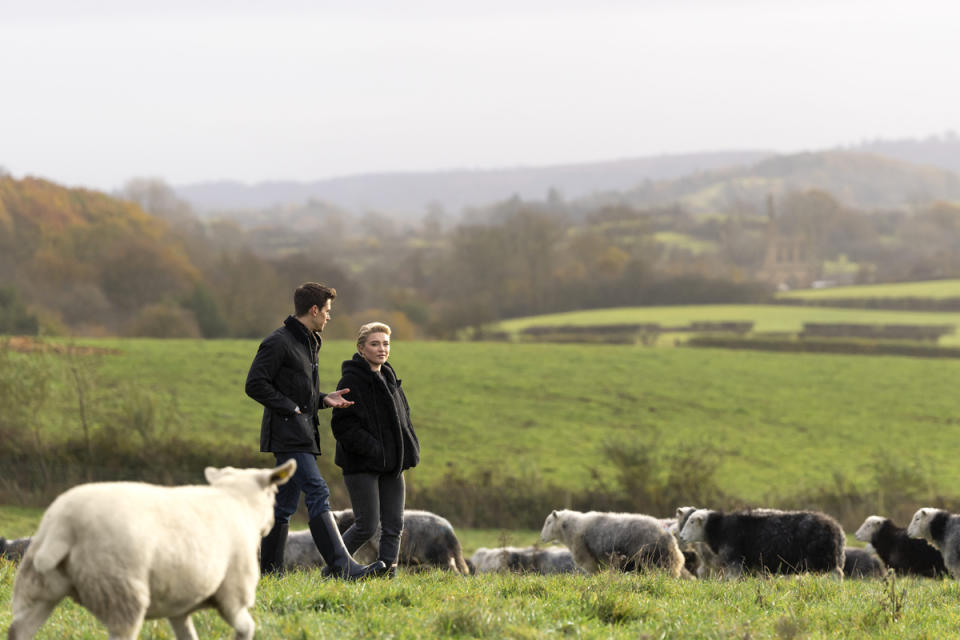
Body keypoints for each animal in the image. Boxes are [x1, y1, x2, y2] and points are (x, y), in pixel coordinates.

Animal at [7, 460, 296, 640]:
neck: (237, 501)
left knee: (18, 630)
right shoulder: (233, 595)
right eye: (273, 492)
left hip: (38, 586)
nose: (271, 522)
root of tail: (64, 524)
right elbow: (247, 628)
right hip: (121, 591)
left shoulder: (180, 604)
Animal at [680, 510, 844, 580]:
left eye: (692, 521)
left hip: (822, 559)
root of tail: (836, 528)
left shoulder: (735, 561)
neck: (719, 528)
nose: (681, 537)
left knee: (837, 574)